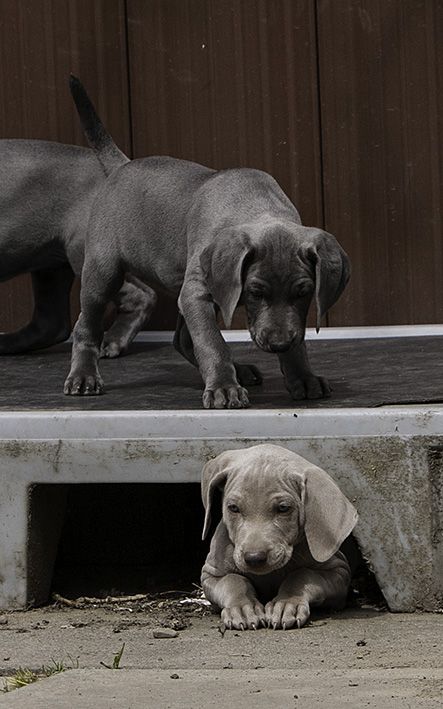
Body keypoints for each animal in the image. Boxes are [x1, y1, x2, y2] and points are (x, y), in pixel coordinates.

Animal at [0, 80, 156, 356]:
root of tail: (119, 168)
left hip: (86, 255)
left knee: (143, 295)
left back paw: (113, 341)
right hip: (49, 265)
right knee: (49, 324)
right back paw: (7, 343)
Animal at [201, 442, 358, 632]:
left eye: (283, 508)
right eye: (233, 508)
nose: (254, 558)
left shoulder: (340, 572)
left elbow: (302, 574)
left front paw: (286, 604)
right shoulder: (210, 574)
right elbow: (233, 580)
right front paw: (243, 608)